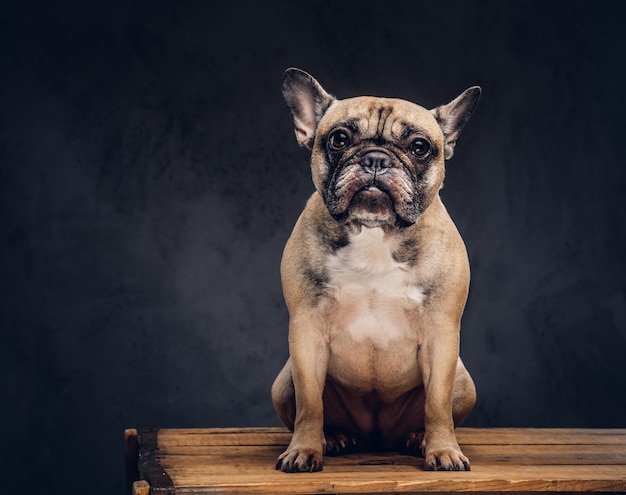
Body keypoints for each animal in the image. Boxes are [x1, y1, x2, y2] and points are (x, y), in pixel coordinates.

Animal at [270, 68, 480, 474]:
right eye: (338, 139)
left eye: (419, 147)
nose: (376, 159)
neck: (374, 232)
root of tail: (376, 436)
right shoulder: (306, 330)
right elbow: (309, 403)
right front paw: (303, 449)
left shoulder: (442, 333)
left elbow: (437, 403)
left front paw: (443, 451)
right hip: (282, 383)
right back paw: (335, 437)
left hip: (465, 382)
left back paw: (418, 438)